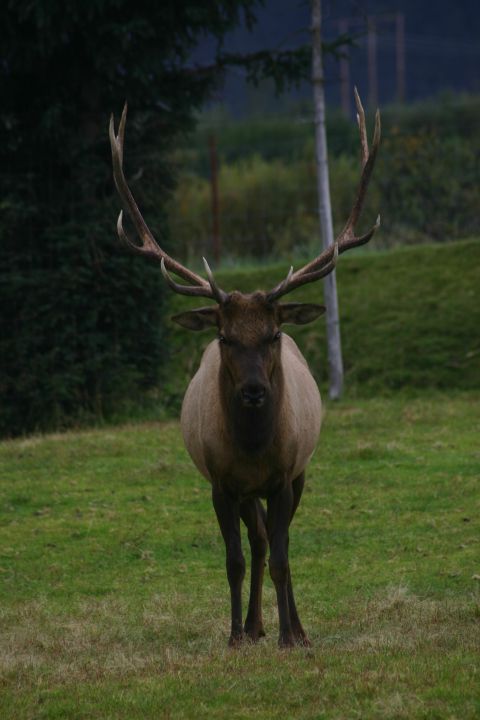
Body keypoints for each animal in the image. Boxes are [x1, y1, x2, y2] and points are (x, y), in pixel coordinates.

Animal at [109, 89, 380, 648]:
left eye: (272, 335)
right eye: (225, 338)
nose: (254, 391)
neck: (254, 448)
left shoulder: (284, 475)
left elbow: (282, 557)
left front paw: (290, 637)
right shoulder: (221, 482)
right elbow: (235, 560)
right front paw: (236, 635)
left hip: (299, 473)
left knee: (279, 544)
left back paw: (291, 627)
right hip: (245, 492)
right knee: (256, 542)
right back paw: (255, 625)